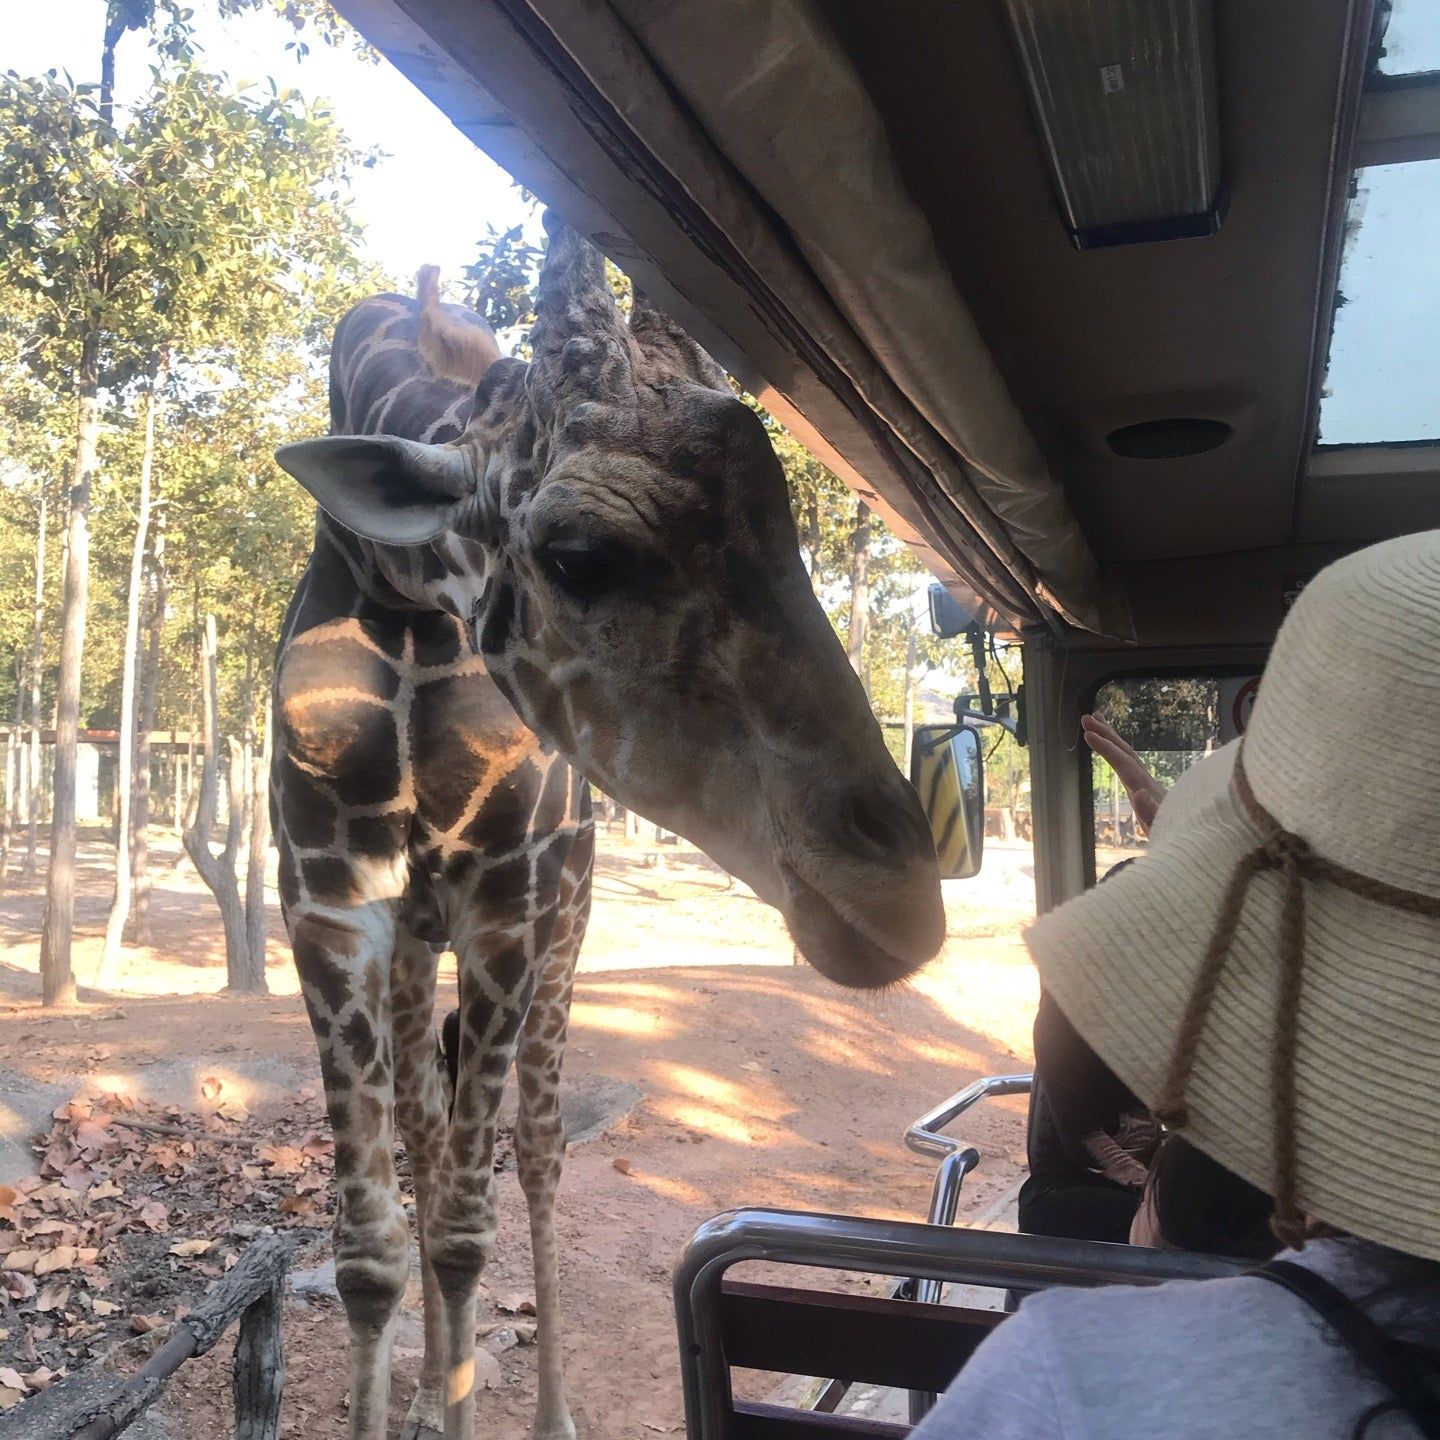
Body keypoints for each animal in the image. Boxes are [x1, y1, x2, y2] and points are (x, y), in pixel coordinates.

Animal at [272, 216, 944, 1440]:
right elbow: (371, 1250)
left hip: (566, 919)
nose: (903, 898)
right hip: (422, 939)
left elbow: (463, 1226)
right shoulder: (329, 902)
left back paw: (543, 1412)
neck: (401, 599)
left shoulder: (508, 904)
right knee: (433, 1137)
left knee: (532, 1152)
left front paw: (473, 1399)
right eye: (580, 557)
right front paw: (414, 1399)